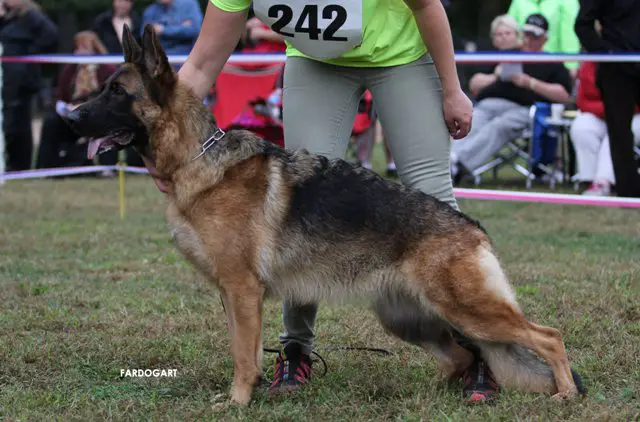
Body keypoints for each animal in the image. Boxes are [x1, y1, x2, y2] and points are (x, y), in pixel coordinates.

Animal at [66, 23, 584, 406]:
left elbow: (242, 356)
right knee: (459, 356)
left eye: (117, 92)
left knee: (549, 337)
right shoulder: (233, 296)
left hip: (469, 310)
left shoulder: (242, 290)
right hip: (407, 318)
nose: (69, 118)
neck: (198, 158)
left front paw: (237, 402)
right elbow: (244, 351)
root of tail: (473, 230)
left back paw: (564, 394)